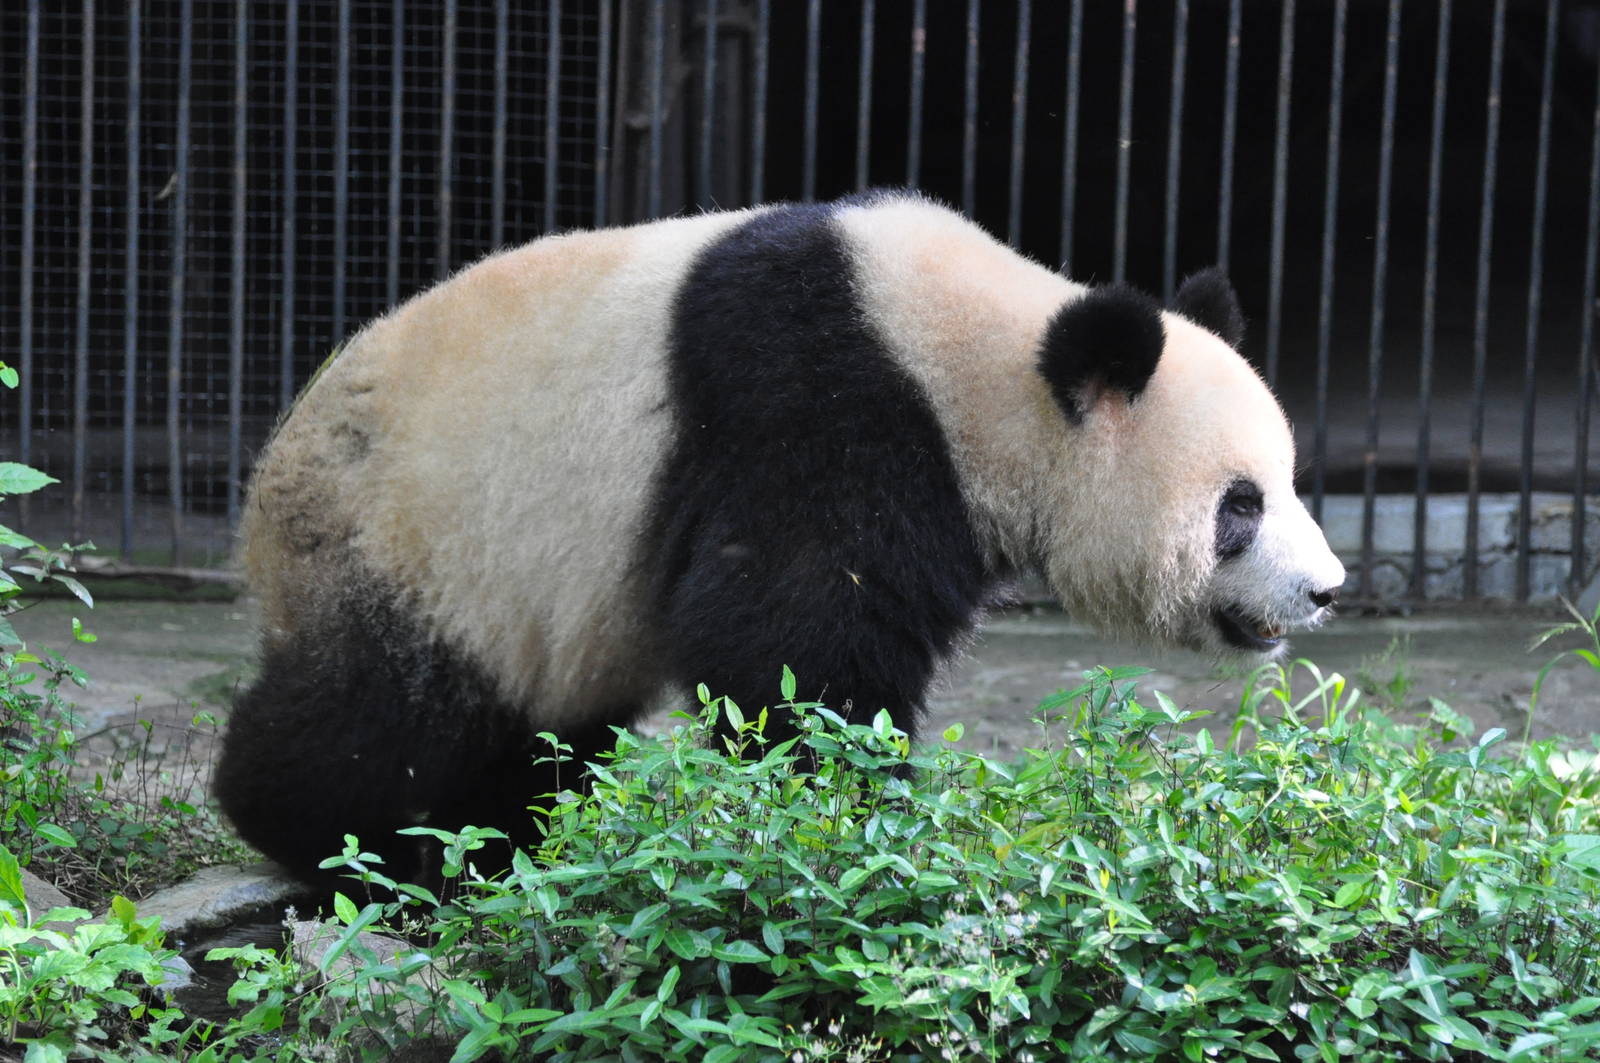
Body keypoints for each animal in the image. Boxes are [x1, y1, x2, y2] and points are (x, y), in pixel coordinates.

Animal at [215, 192, 1345, 881]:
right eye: (1240, 506)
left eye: (1289, 483)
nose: (1325, 589)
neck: (980, 356)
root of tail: (261, 509)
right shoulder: (819, 407)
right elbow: (789, 640)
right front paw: (854, 820)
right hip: (409, 534)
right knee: (389, 717)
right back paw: (322, 835)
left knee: (533, 727)